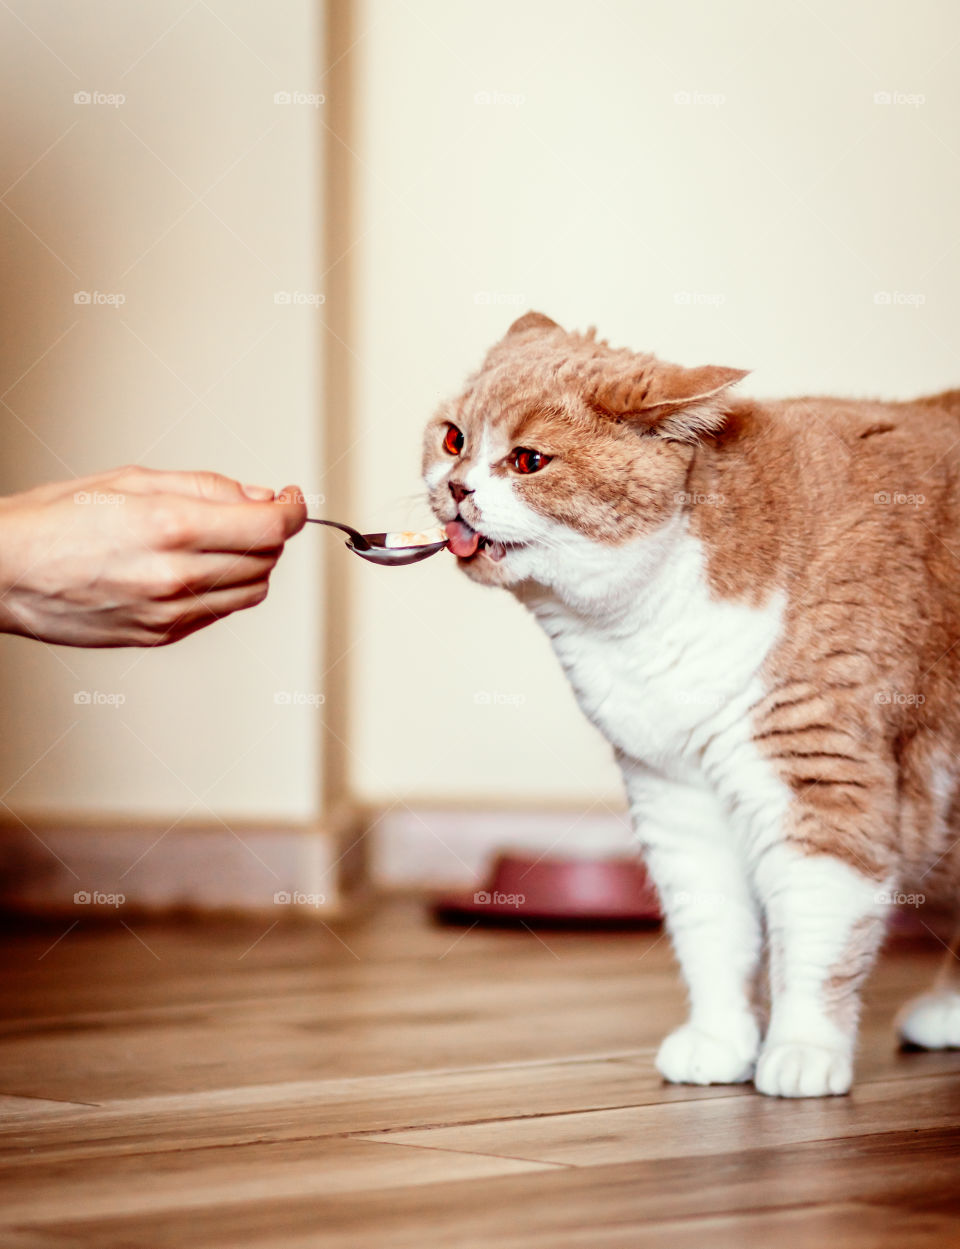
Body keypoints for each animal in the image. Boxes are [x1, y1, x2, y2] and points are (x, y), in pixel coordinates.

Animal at [424, 309, 958, 1094]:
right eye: (454, 439)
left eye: (527, 461)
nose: (458, 487)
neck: (636, 627)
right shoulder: (676, 795)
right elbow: (712, 931)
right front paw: (719, 1040)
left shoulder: (819, 777)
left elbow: (817, 931)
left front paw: (803, 1049)